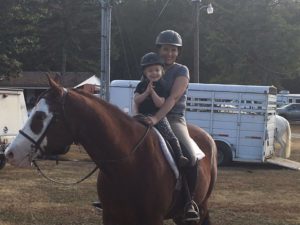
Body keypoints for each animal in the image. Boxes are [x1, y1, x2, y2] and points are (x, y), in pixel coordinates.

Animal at [4, 77, 216, 225]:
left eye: (40, 116)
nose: (10, 153)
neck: (130, 162)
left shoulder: (152, 219)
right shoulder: (112, 216)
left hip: (201, 206)